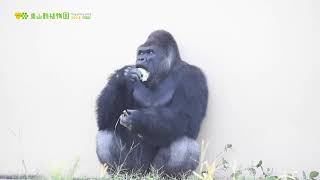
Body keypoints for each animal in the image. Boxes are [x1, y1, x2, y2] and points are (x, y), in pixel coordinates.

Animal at [96, 29, 209, 176]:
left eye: (150, 52)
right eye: (140, 53)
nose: (140, 59)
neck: (167, 71)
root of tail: (143, 174)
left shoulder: (193, 77)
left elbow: (186, 118)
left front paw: (139, 119)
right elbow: (105, 119)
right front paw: (121, 79)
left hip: (153, 170)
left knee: (184, 144)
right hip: (137, 169)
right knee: (105, 134)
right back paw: (121, 173)